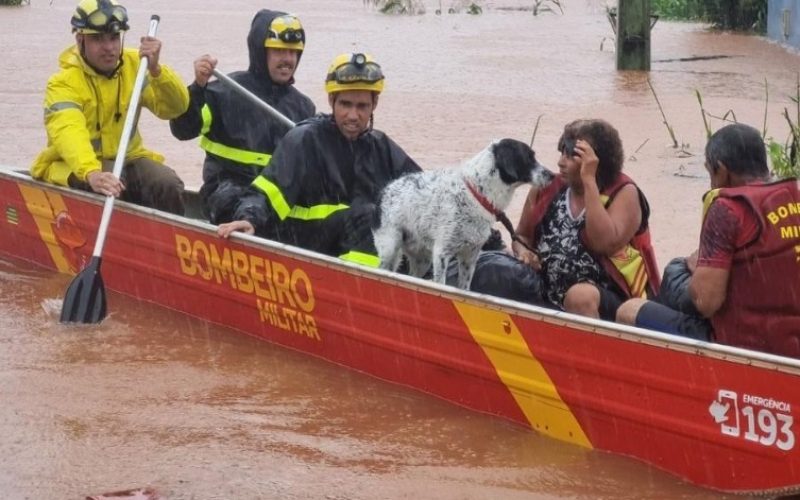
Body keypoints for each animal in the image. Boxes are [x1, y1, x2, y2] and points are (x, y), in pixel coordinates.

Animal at [372, 140, 552, 290]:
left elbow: (464, 288)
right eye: (529, 158)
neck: (477, 194)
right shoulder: (442, 253)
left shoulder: (470, 256)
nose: (552, 175)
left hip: (422, 259)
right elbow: (441, 284)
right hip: (390, 247)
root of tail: (384, 190)